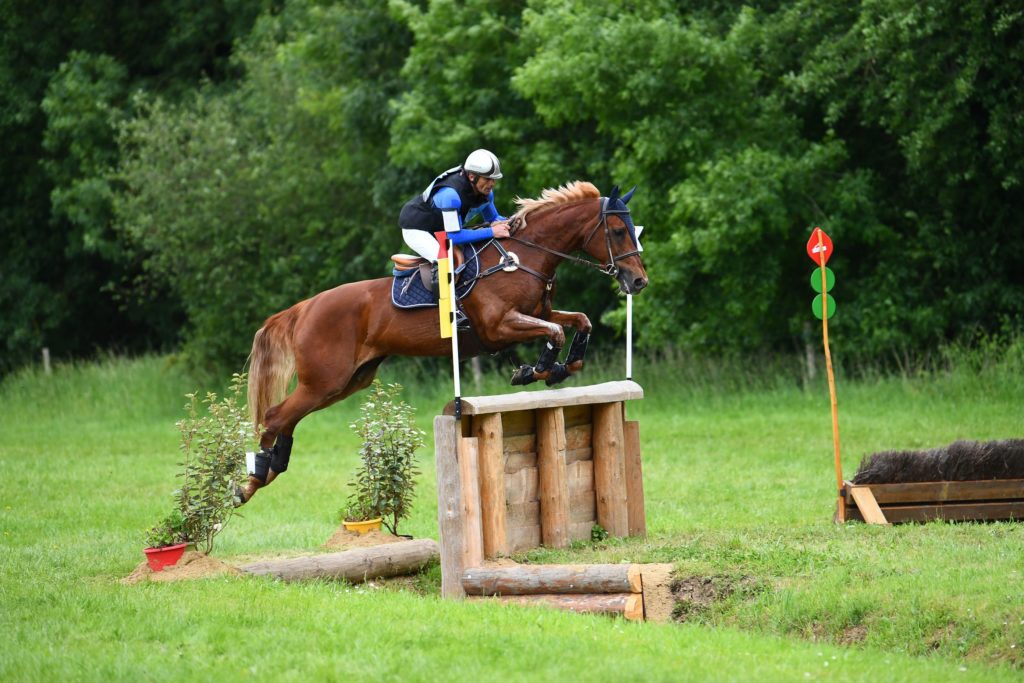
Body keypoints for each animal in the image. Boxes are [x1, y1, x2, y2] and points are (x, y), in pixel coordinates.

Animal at [237, 179, 647, 505]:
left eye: (631, 228)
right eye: (617, 231)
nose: (638, 281)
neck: (525, 257)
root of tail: (304, 308)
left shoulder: (539, 313)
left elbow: (579, 322)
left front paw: (562, 366)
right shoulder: (499, 327)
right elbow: (555, 332)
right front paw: (540, 369)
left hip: (346, 383)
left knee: (287, 419)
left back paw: (267, 471)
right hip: (325, 381)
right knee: (274, 417)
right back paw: (252, 479)